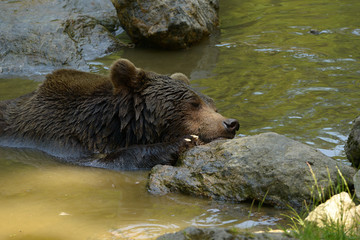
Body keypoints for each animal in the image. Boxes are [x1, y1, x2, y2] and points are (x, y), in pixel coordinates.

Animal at [0, 59, 239, 170]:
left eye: (214, 107)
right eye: (194, 103)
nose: (231, 123)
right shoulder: (63, 139)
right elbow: (109, 161)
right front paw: (182, 142)